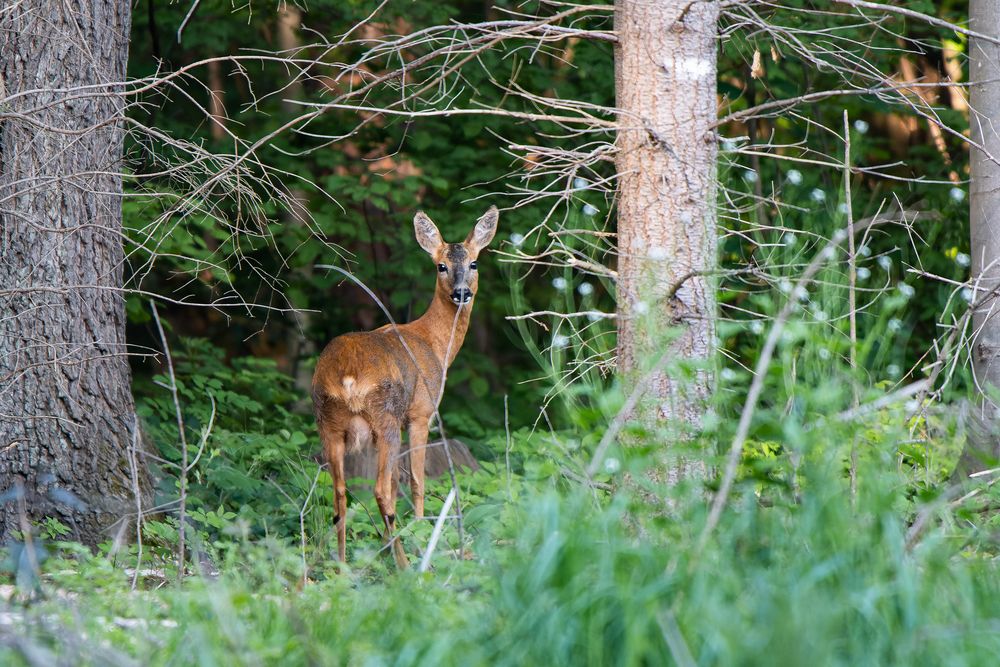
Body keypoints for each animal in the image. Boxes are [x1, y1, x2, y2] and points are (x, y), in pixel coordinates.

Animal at [310, 206, 498, 568]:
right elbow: (416, 480)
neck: (435, 344)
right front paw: (422, 533)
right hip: (385, 416)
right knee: (380, 490)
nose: (461, 293)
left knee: (340, 493)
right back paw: (404, 563)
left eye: (474, 263)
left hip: (328, 420)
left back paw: (342, 565)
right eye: (441, 265)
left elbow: (399, 480)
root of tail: (347, 377)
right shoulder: (421, 412)